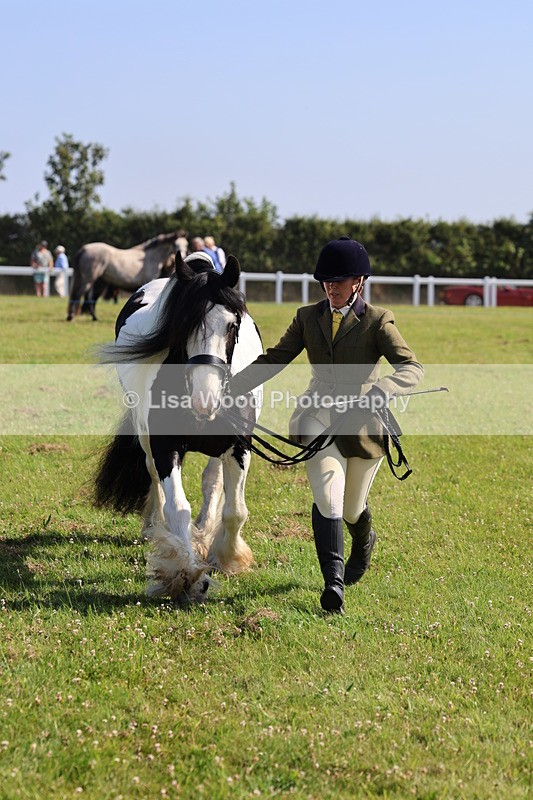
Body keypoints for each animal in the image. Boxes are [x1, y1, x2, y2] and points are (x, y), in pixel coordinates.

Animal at [93, 251, 263, 605]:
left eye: (233, 324)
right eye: (183, 325)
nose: (205, 399)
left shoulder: (239, 446)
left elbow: (235, 511)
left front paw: (227, 556)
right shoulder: (163, 445)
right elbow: (177, 508)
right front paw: (186, 577)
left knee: (212, 482)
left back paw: (205, 530)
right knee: (152, 474)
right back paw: (154, 526)